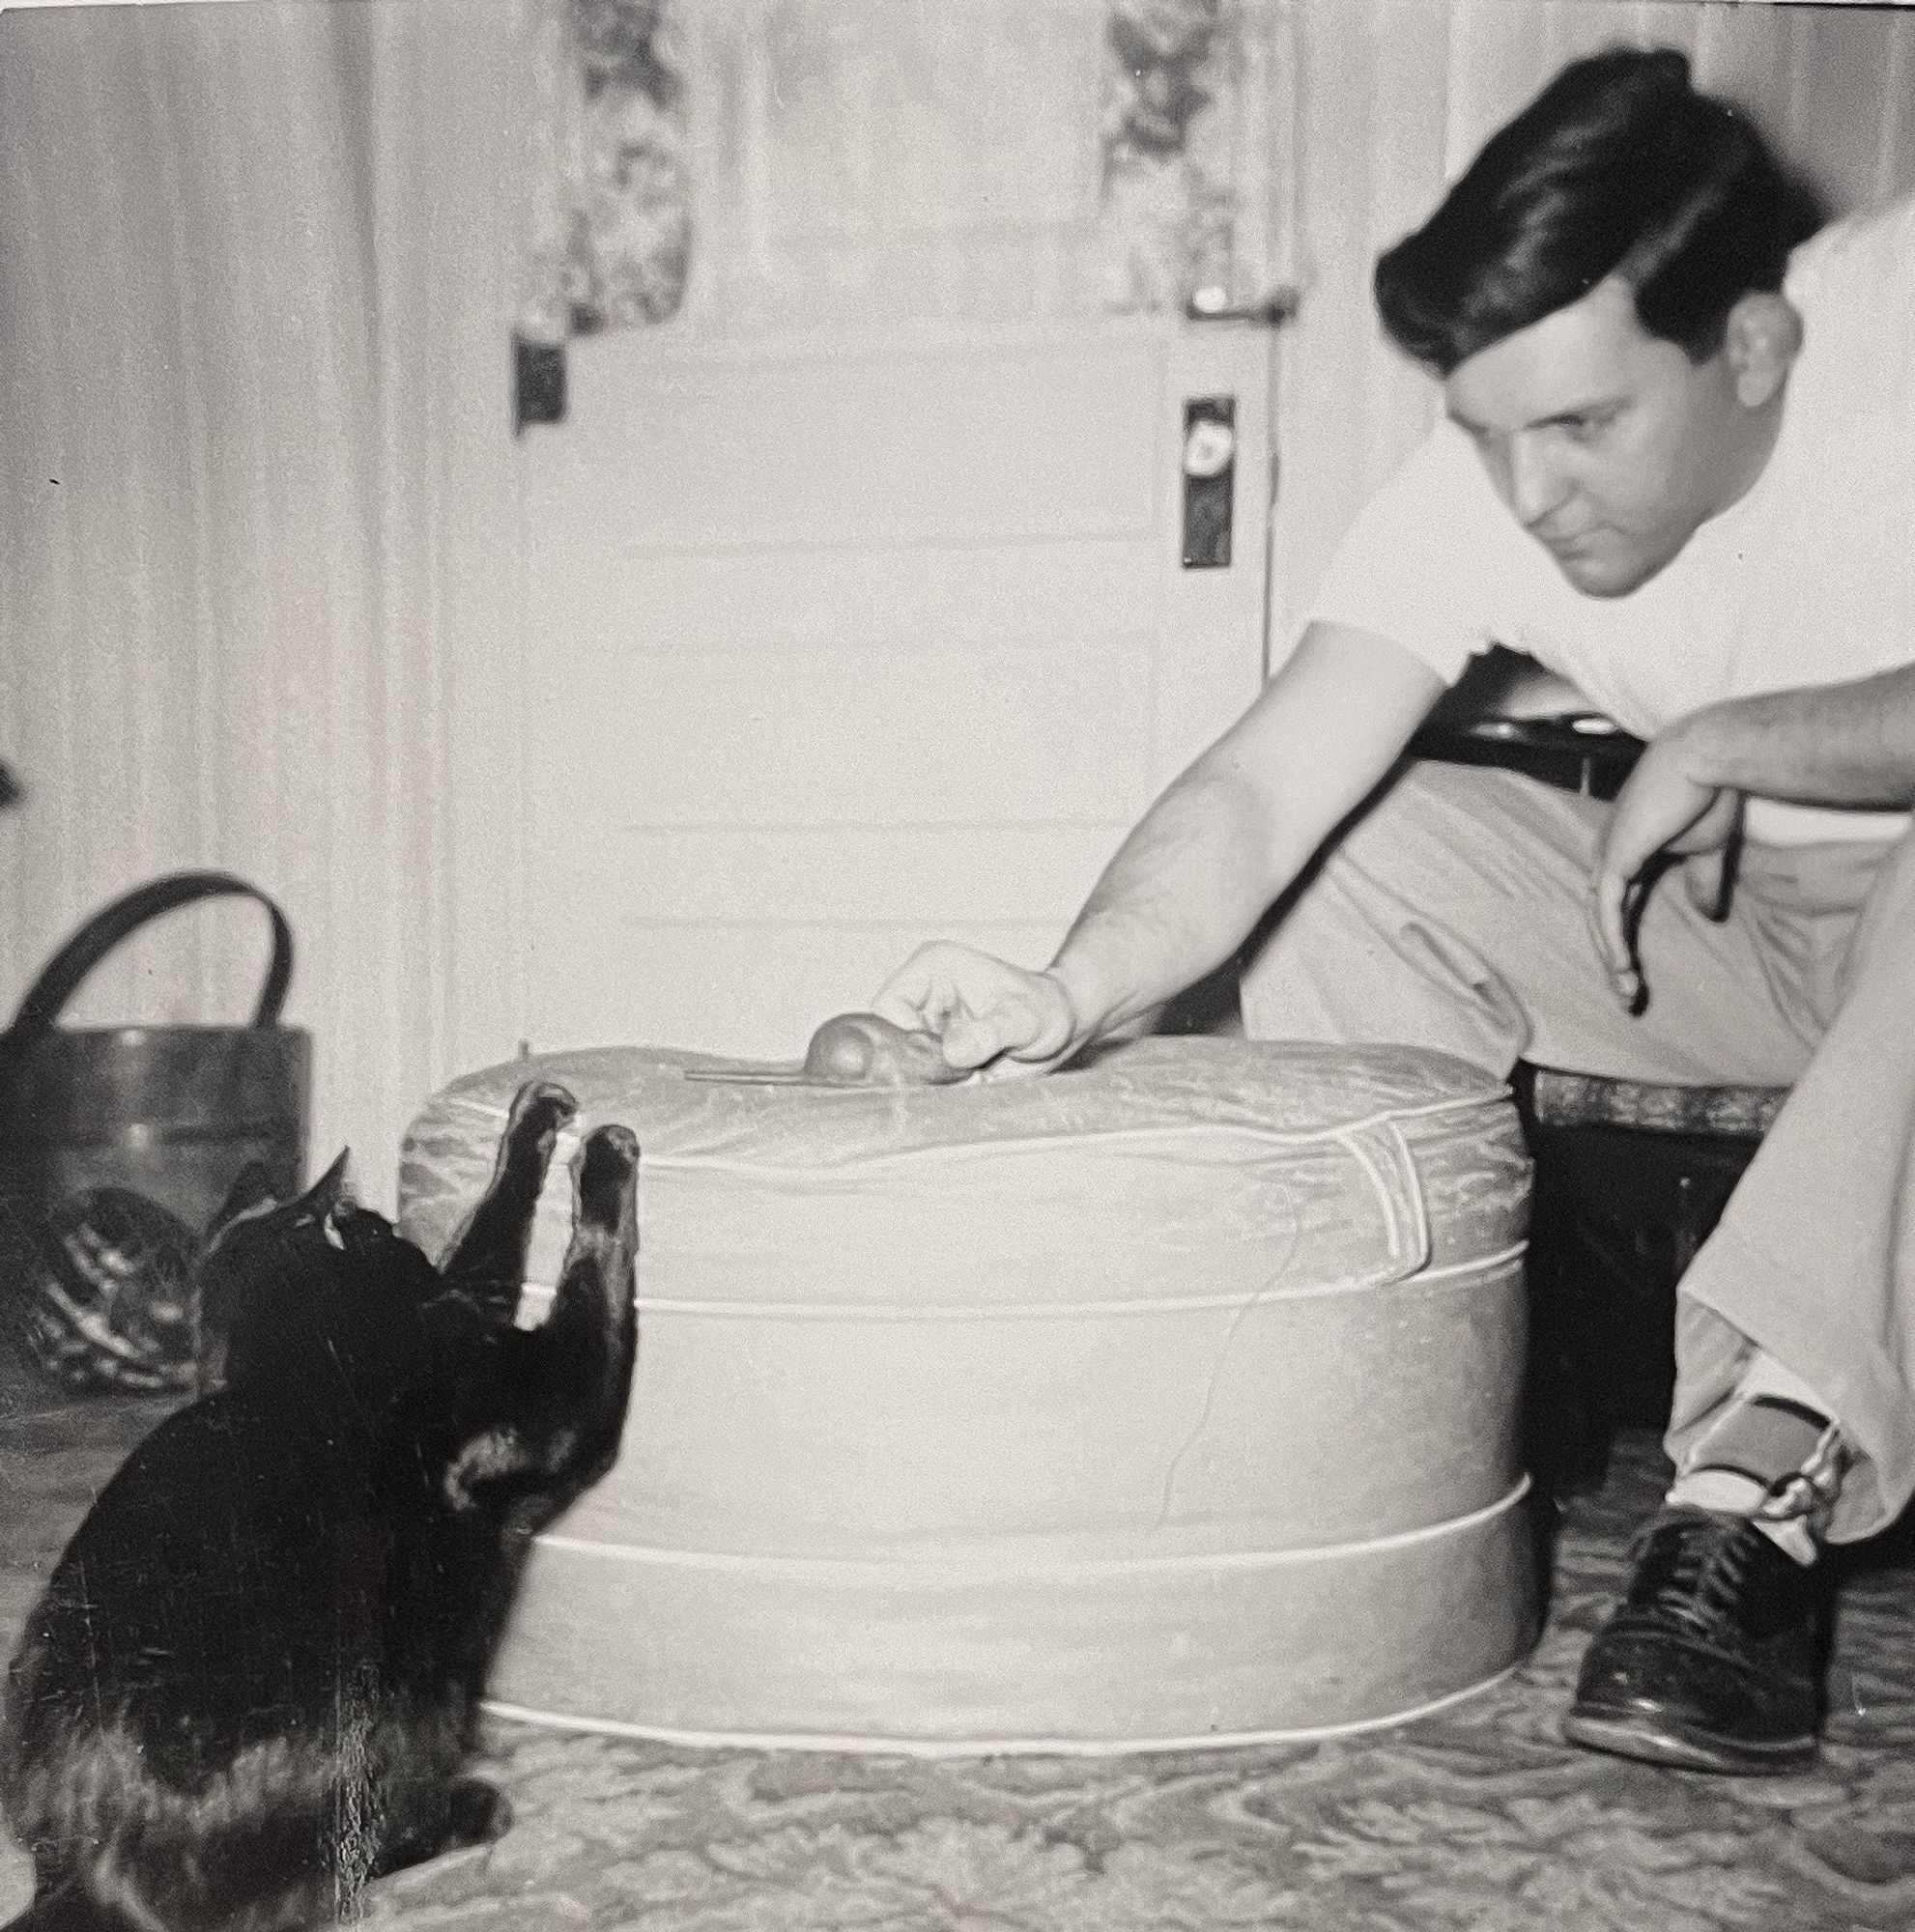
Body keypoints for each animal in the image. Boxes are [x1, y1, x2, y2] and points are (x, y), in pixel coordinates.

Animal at [0, 1082, 645, 1924]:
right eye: (384, 1231)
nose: (408, 1248)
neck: (299, 1365)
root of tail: (90, 1872)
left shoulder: (459, 1303)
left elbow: (487, 1242)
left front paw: (532, 1117)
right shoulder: (552, 1393)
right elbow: (591, 1289)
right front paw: (604, 1161)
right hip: (409, 1698)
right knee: (366, 1850)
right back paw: (471, 1812)